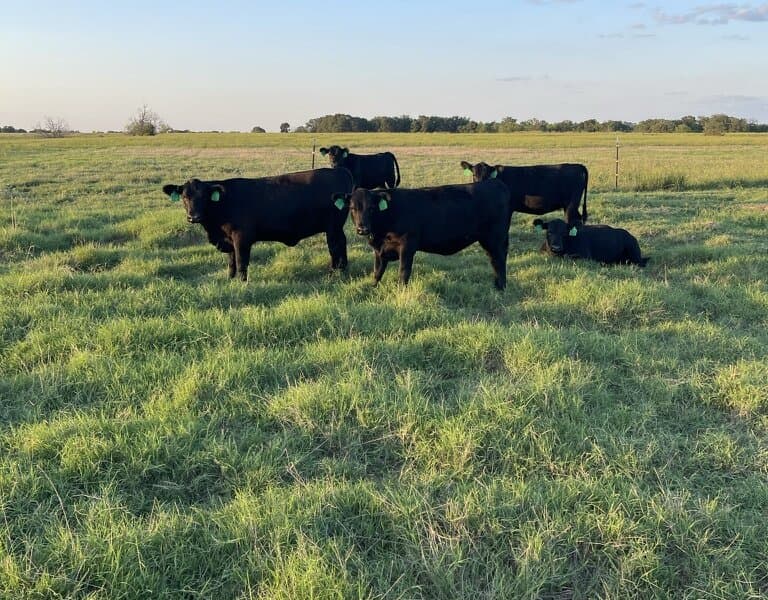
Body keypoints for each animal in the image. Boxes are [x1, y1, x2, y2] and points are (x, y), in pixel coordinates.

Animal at [161, 168, 354, 281]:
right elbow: (231, 262)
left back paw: (334, 273)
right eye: (185, 197)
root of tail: (339, 171)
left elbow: (241, 262)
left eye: (203, 197)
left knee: (335, 247)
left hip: (332, 227)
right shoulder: (229, 239)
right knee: (342, 243)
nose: (193, 216)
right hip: (336, 227)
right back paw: (343, 270)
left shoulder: (241, 238)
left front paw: (242, 283)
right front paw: (230, 280)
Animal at [332, 179, 512, 289]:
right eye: (352, 208)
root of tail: (496, 183)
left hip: (495, 238)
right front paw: (372, 288)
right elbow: (377, 272)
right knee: (494, 260)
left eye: (371, 208)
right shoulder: (379, 250)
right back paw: (496, 284)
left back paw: (501, 287)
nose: (362, 229)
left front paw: (400, 292)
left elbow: (403, 272)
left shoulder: (407, 246)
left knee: (499, 260)